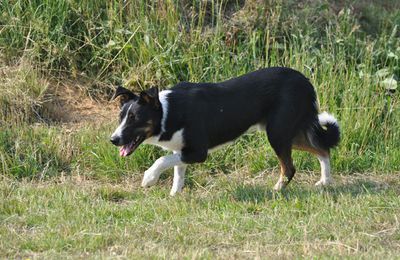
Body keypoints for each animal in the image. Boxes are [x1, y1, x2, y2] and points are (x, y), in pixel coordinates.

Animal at [110, 67, 340, 195]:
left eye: (135, 119)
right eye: (121, 117)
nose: (113, 139)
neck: (169, 111)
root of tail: (305, 81)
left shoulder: (198, 152)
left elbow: (161, 161)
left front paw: (149, 178)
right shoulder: (180, 150)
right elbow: (177, 172)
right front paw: (174, 195)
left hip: (278, 133)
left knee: (290, 167)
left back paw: (276, 190)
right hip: (289, 132)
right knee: (323, 150)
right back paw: (325, 181)